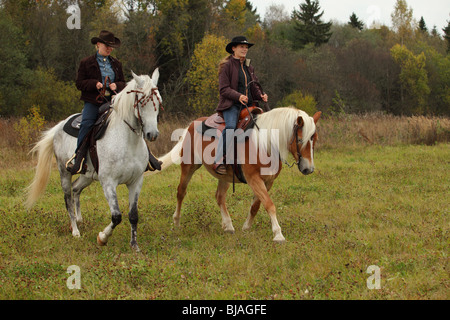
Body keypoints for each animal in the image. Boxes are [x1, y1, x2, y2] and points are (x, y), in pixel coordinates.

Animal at [25, 70, 162, 252]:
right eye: (141, 102)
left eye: (159, 101)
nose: (152, 134)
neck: (127, 142)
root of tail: (60, 125)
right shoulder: (108, 182)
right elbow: (116, 216)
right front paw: (102, 238)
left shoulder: (136, 181)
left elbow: (133, 215)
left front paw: (134, 246)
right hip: (64, 171)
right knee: (68, 198)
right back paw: (75, 230)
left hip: (87, 175)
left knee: (76, 189)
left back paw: (79, 220)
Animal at [154, 107, 320, 242]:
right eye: (300, 140)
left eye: (315, 139)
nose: (309, 169)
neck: (263, 143)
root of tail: (193, 123)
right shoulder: (254, 179)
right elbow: (269, 204)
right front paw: (278, 234)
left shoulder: (268, 181)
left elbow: (256, 206)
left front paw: (246, 228)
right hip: (189, 166)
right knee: (181, 192)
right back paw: (176, 222)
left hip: (225, 176)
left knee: (219, 196)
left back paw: (228, 226)